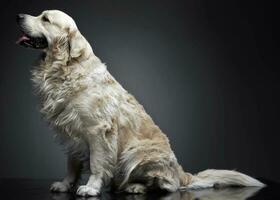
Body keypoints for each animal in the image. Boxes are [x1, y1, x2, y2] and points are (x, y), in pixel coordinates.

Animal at [15, 10, 264, 196]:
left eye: (45, 19)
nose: (18, 16)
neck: (64, 68)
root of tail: (182, 173)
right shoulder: (71, 130)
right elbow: (72, 164)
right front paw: (66, 184)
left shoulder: (98, 130)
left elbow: (97, 163)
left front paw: (91, 188)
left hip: (135, 153)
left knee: (167, 186)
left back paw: (135, 187)